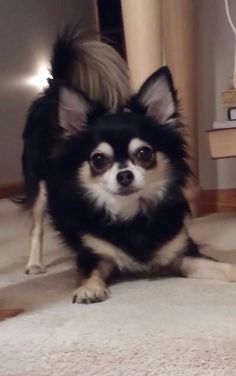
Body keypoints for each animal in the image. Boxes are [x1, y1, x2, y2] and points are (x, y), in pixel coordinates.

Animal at [20, 26, 236, 304]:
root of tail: (53, 88)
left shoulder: (183, 255)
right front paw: (89, 288)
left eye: (144, 154)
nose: (124, 175)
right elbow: (89, 272)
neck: (132, 214)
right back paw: (34, 264)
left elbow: (221, 266)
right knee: (36, 227)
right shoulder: (94, 256)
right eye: (98, 160)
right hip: (39, 185)